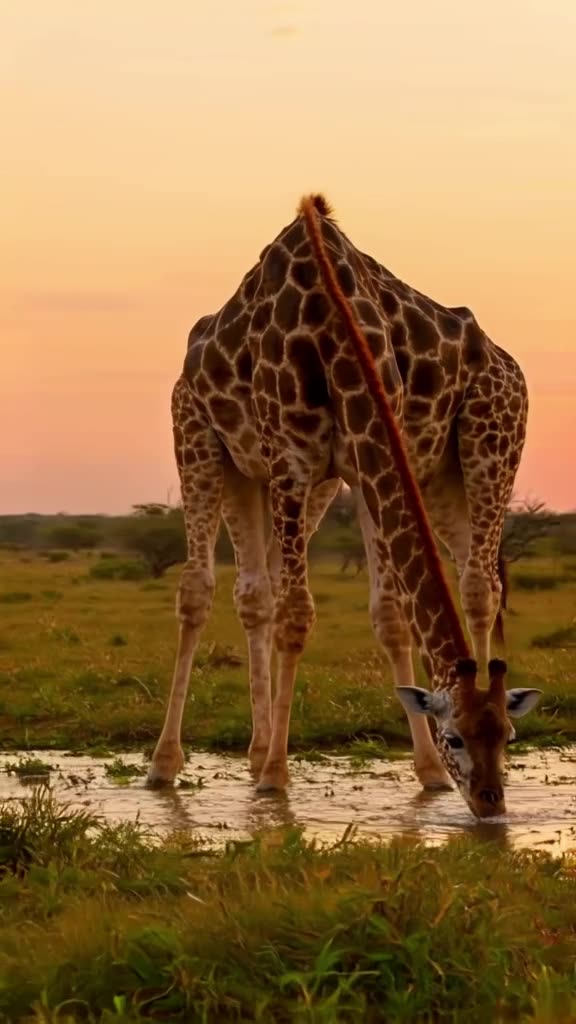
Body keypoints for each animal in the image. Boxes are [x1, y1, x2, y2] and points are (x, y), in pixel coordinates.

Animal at [148, 194, 542, 818]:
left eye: (507, 734)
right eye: (455, 736)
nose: (490, 803)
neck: (332, 321)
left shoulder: (364, 457)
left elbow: (390, 613)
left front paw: (427, 772)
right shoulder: (290, 457)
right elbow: (297, 613)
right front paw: (276, 777)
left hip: (472, 451)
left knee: (475, 584)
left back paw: (255, 751)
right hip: (204, 441)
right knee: (202, 590)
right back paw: (172, 763)